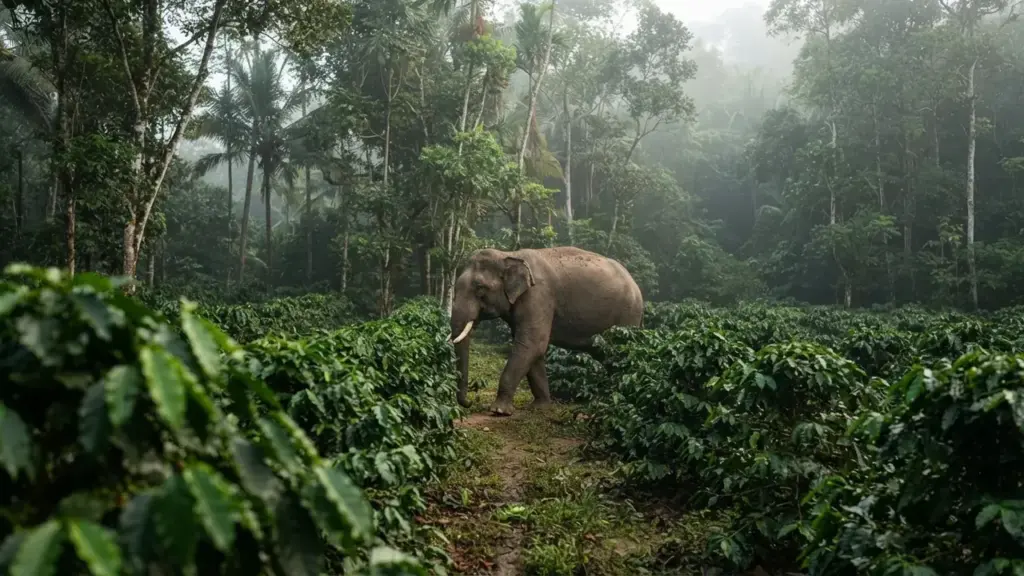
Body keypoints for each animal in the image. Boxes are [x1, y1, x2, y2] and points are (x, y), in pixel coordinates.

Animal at [448, 246, 644, 416]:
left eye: (480, 287)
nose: (470, 401)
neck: (508, 254)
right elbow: (533, 349)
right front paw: (539, 407)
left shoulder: (538, 296)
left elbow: (532, 344)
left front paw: (499, 411)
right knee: (607, 357)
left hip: (628, 317)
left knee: (619, 355)